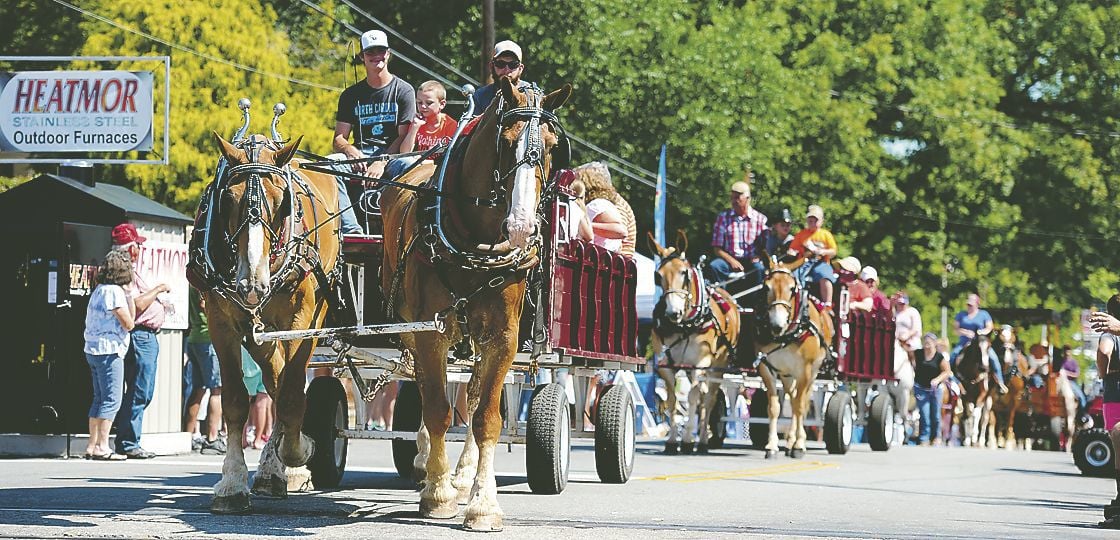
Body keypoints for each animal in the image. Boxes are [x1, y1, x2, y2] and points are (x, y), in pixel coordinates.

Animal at [189, 132, 340, 513]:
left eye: (282, 201)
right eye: (227, 199)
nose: (252, 284)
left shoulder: (304, 320)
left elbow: (291, 398)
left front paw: (300, 451)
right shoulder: (222, 321)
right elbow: (236, 401)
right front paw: (232, 483)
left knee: (286, 386)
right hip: (259, 332)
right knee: (275, 380)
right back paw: (273, 469)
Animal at [380, 76, 573, 531]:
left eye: (553, 145)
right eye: (506, 141)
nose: (521, 225)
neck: (476, 242)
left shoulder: (502, 336)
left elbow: (486, 416)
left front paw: (483, 503)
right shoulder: (429, 332)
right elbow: (436, 409)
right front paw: (437, 493)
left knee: (470, 395)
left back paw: (464, 474)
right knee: (430, 390)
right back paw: (428, 464)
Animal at [654, 229, 739, 452]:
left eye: (684, 273)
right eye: (658, 275)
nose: (672, 312)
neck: (685, 324)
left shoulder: (700, 363)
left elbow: (693, 397)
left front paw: (686, 440)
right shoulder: (666, 363)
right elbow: (673, 399)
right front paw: (672, 441)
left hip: (717, 366)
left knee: (708, 399)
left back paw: (701, 441)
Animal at [752, 255, 833, 457]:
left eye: (792, 288)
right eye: (766, 287)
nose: (777, 325)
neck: (787, 334)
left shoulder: (805, 370)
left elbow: (799, 406)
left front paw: (799, 444)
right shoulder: (766, 367)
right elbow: (774, 408)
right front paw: (772, 446)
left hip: (812, 372)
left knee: (800, 402)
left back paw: (796, 441)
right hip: (787, 374)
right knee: (792, 395)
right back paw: (789, 441)